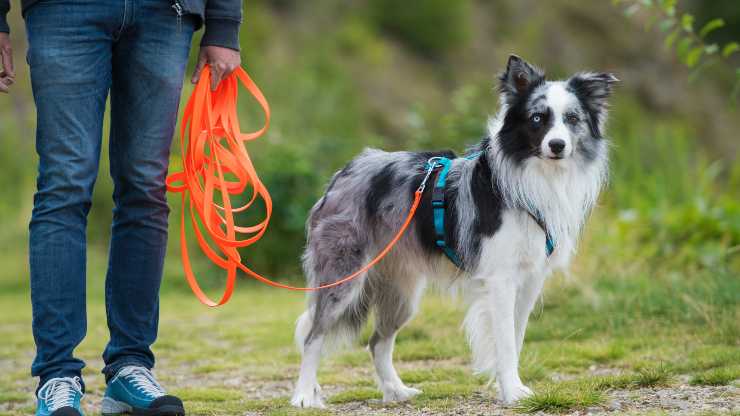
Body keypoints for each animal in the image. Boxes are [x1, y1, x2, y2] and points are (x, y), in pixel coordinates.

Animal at [290, 55, 617, 408]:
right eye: (537, 118)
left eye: (572, 119)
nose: (557, 145)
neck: (538, 176)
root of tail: (344, 173)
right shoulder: (500, 279)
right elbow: (504, 341)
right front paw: (511, 392)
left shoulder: (531, 279)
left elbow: (515, 336)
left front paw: (512, 387)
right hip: (344, 277)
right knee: (313, 335)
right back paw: (304, 396)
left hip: (402, 292)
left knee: (377, 342)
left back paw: (396, 391)